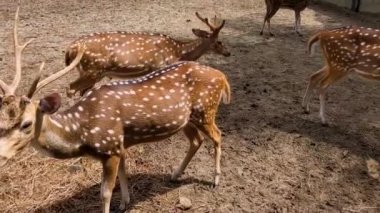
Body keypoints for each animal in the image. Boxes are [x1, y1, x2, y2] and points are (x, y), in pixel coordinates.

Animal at [65, 12, 229, 97]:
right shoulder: (159, 67)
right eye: (219, 41)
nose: (228, 52)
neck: (178, 52)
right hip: (92, 70)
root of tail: (70, 48)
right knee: (70, 88)